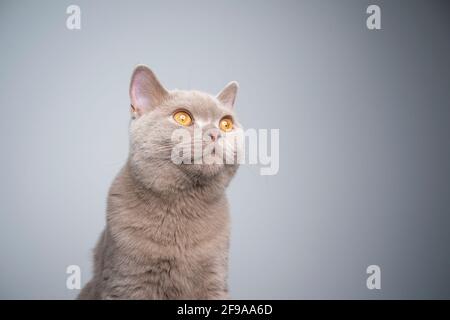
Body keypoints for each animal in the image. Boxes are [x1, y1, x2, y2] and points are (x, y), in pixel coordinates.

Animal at [78, 65, 239, 300]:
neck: (183, 205)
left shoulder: (215, 280)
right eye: (182, 118)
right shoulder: (127, 281)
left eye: (226, 123)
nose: (216, 133)